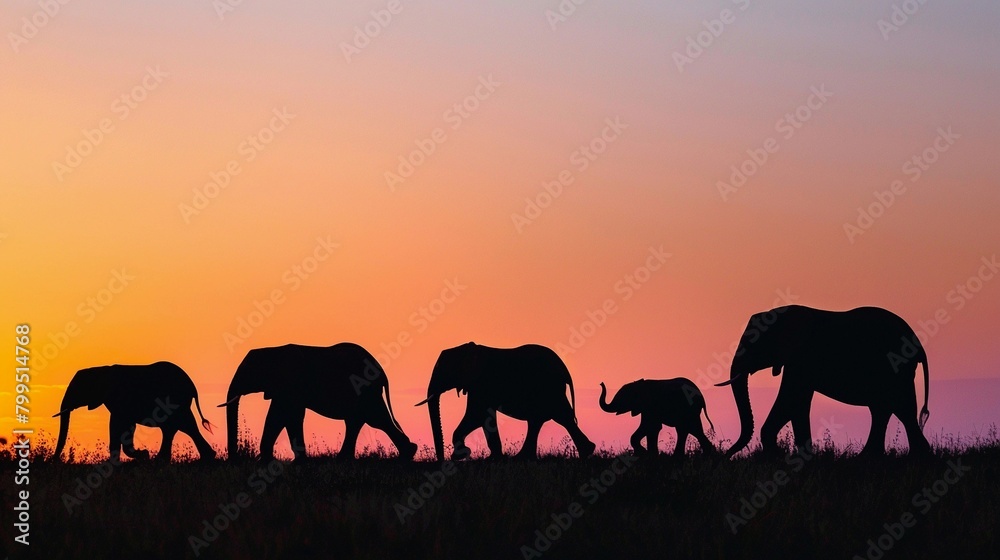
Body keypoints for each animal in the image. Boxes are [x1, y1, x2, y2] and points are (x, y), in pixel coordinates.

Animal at [53, 360, 216, 462]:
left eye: (78, 390)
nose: (54, 461)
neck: (101, 369)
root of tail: (192, 386)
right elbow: (128, 426)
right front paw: (144, 455)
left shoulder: (119, 399)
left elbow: (117, 425)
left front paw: (142, 455)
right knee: (176, 428)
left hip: (176, 402)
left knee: (184, 426)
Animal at [220, 344, 418, 462]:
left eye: (247, 373)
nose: (234, 460)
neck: (271, 350)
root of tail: (382, 372)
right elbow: (287, 416)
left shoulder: (291, 384)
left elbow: (281, 415)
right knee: (359, 421)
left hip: (367, 391)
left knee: (375, 419)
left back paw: (407, 455)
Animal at [414, 344, 592, 462]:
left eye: (443, 370)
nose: (441, 461)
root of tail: (564, 368)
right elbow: (483, 418)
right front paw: (490, 457)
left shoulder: (481, 384)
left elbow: (476, 416)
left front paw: (463, 455)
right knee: (546, 420)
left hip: (550, 387)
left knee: (560, 417)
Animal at [720, 306, 928, 460]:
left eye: (755, 343)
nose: (725, 455)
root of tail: (919, 344)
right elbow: (798, 403)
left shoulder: (802, 357)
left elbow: (790, 398)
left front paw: (779, 457)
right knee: (891, 409)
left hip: (897, 367)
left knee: (897, 408)